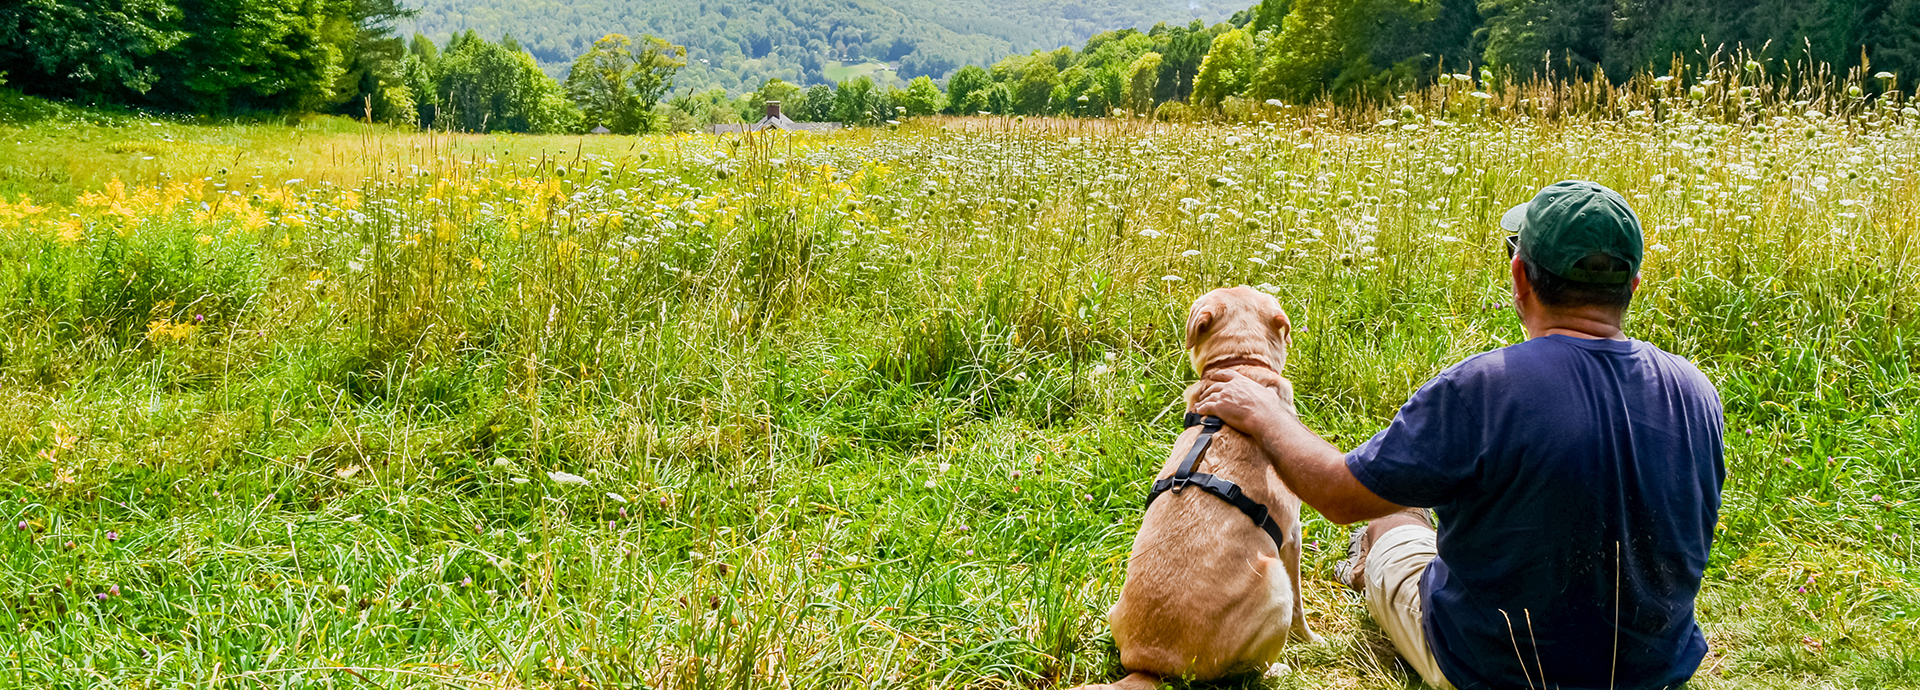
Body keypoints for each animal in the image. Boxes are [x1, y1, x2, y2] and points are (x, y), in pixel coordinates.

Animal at [1082, 286, 1320, 690]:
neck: (1240, 366)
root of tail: (1151, 667)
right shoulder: (1292, 536)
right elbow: (1302, 606)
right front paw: (1311, 639)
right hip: (1275, 584)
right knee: (1252, 668)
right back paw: (1275, 670)